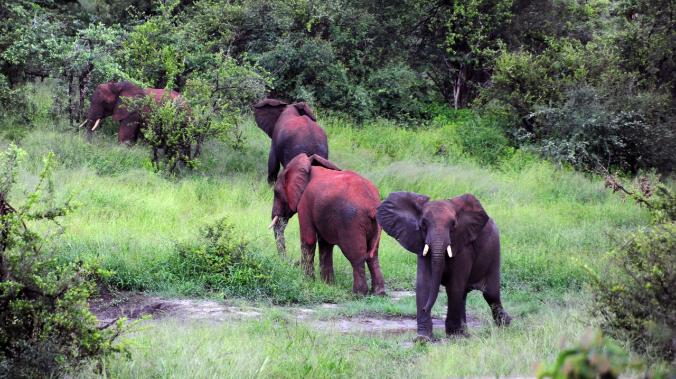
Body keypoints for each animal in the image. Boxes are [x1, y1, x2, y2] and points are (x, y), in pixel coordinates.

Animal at [268, 154, 386, 296]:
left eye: (276, 192)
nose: (292, 263)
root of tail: (372, 206)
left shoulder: (304, 203)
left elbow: (308, 239)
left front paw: (307, 281)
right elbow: (325, 244)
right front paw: (328, 284)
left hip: (351, 222)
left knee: (356, 256)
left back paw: (358, 294)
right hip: (373, 225)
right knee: (373, 256)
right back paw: (379, 293)